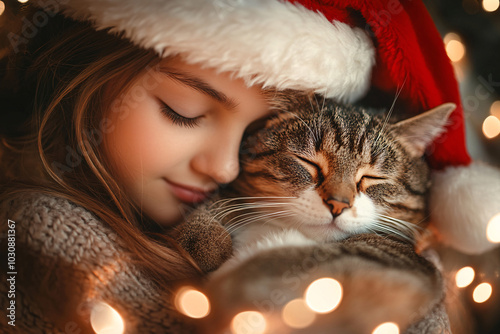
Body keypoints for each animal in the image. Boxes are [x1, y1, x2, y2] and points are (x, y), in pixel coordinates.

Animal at [174, 92, 456, 334]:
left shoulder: (397, 259)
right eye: (308, 162)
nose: (338, 204)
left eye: (373, 178)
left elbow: (276, 263)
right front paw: (206, 238)